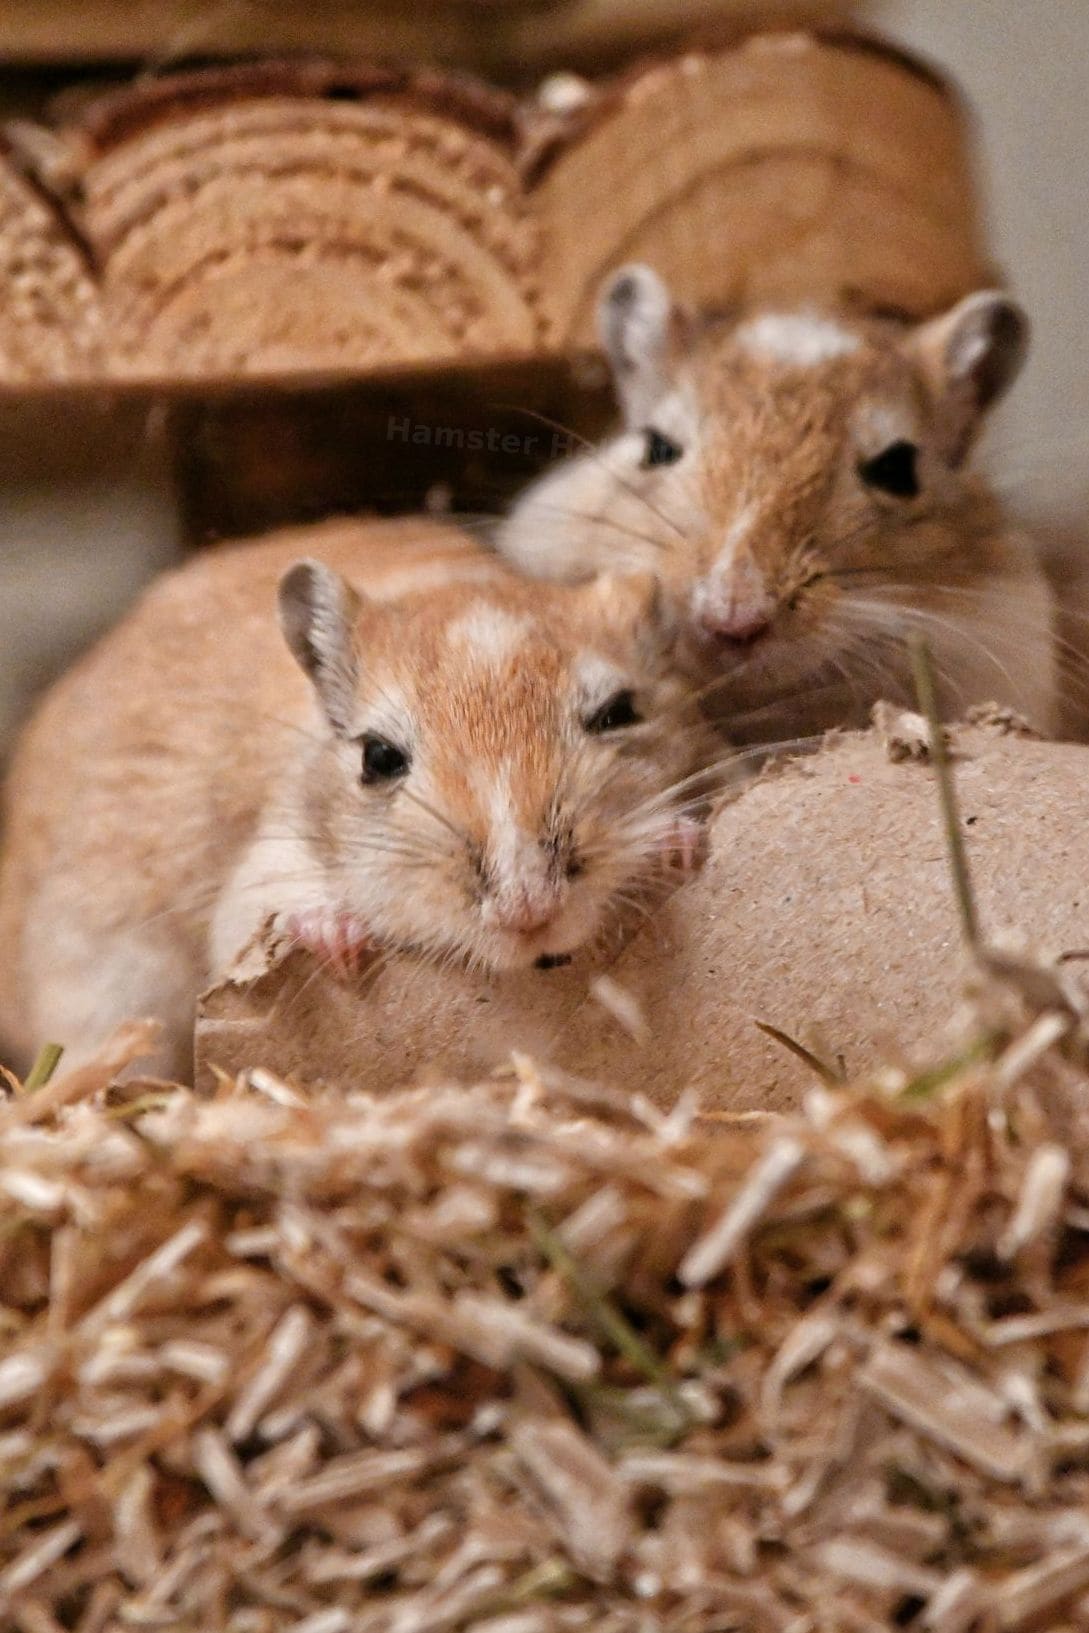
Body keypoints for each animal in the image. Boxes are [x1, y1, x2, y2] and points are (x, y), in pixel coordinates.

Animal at [0, 517, 710, 1080]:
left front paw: (678, 842)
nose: (529, 912)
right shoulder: (264, 867)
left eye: (618, 713)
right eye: (378, 758)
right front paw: (338, 943)